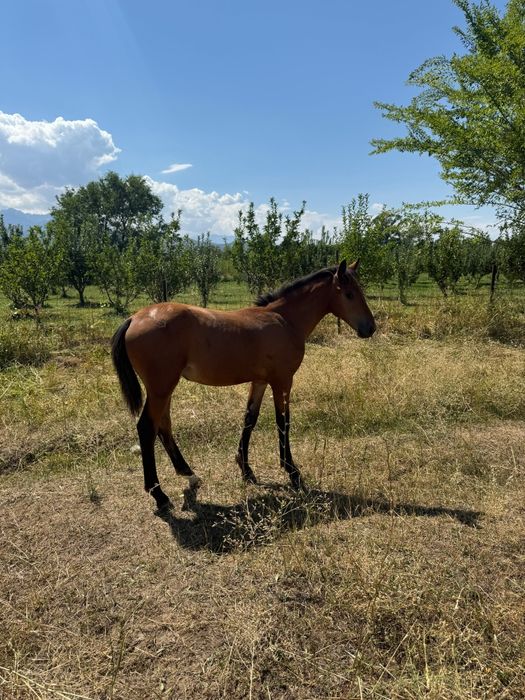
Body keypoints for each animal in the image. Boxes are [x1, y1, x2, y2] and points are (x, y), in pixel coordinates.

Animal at [111, 259, 376, 510]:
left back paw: (189, 475)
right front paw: (293, 473)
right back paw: (159, 495)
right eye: (349, 294)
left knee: (163, 426)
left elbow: (250, 418)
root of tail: (134, 318)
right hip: (161, 388)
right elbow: (283, 422)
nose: (370, 328)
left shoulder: (259, 381)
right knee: (147, 428)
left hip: (164, 389)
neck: (285, 320)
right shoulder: (282, 380)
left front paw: (246, 470)